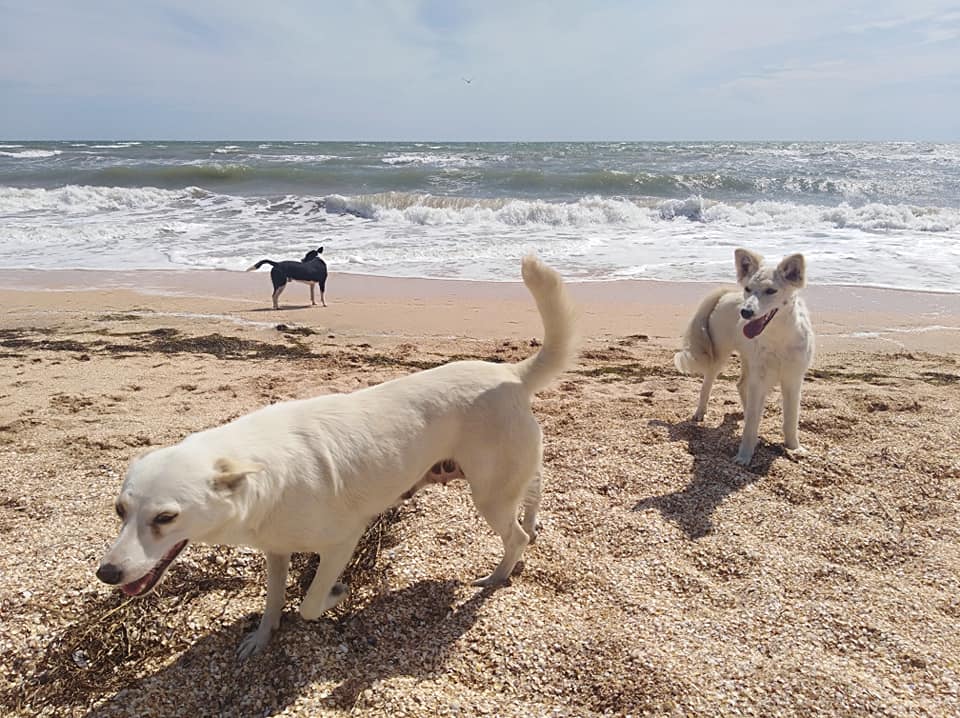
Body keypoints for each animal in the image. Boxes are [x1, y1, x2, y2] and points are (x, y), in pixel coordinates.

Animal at [95, 258, 576, 660]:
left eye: (165, 518)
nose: (106, 573)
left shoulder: (343, 541)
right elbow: (273, 599)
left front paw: (337, 594)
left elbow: (309, 604)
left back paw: (496, 578)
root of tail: (510, 373)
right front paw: (261, 637)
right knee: (532, 498)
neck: (260, 473)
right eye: (119, 510)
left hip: (488, 494)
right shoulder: (275, 550)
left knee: (515, 537)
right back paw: (530, 532)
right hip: (508, 476)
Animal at [676, 250, 808, 466]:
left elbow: (791, 419)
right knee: (707, 385)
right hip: (720, 357)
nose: (745, 312)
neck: (777, 338)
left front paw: (794, 447)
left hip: (748, 361)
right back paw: (700, 413)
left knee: (741, 385)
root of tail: (728, 293)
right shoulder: (759, 379)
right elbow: (752, 423)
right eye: (748, 288)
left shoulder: (793, 380)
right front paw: (744, 455)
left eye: (771, 291)